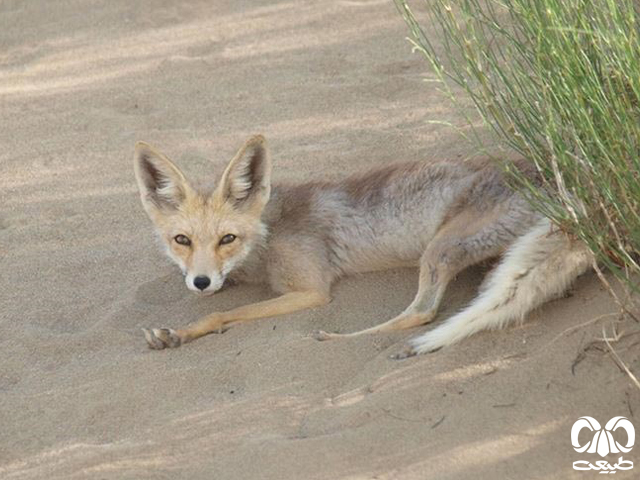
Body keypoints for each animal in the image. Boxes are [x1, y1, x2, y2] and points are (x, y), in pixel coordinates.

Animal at [135, 134, 596, 356]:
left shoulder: (311, 290)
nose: (199, 283)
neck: (269, 236)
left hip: (439, 249)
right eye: (182, 240)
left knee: (421, 313)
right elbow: (225, 297)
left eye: (227, 238)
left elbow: (226, 314)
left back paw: (339, 339)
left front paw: (182, 332)